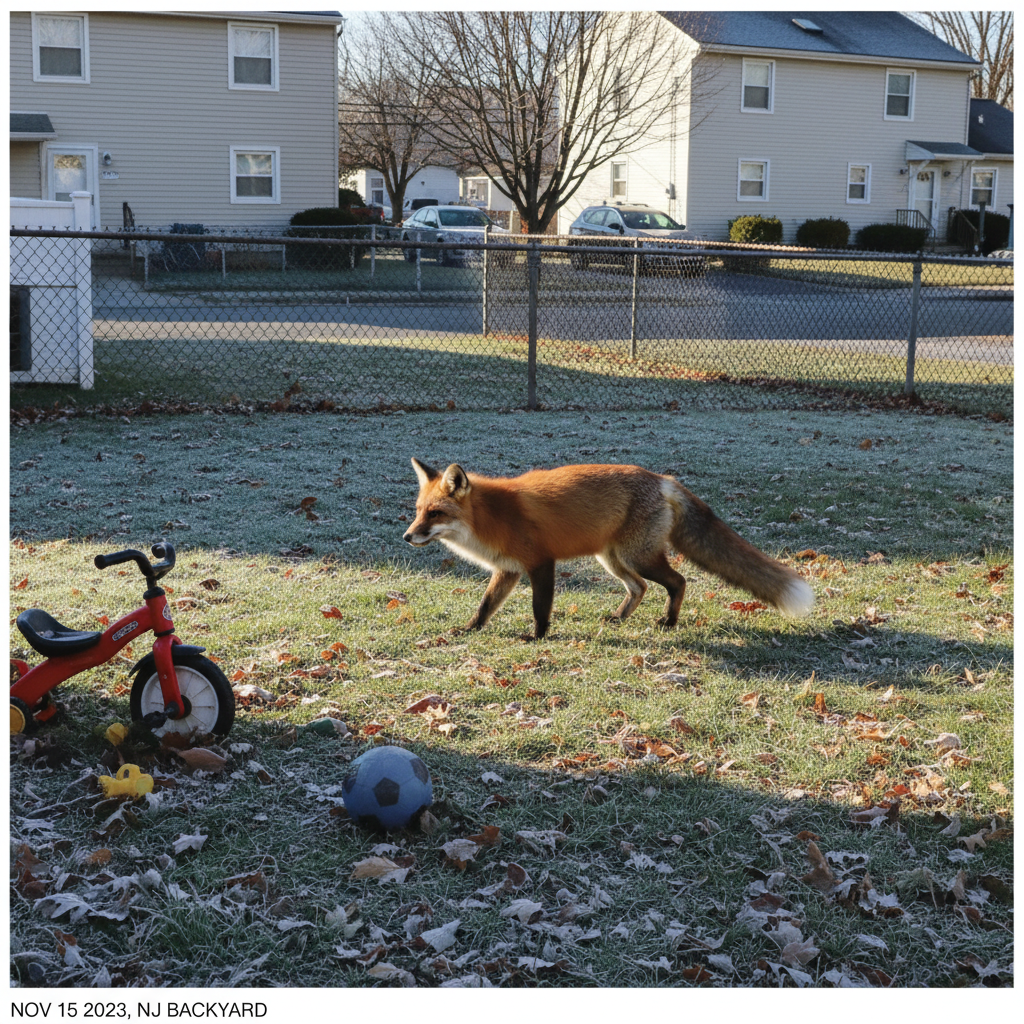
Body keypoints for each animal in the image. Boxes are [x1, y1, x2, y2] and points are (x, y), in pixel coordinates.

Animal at [403, 458, 814, 640]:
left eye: (435, 514)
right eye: (419, 511)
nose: (407, 537)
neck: (492, 518)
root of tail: (662, 479)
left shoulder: (541, 563)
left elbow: (540, 609)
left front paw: (537, 637)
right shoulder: (508, 570)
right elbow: (485, 606)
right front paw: (469, 629)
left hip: (636, 557)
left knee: (678, 581)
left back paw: (669, 622)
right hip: (612, 559)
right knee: (640, 588)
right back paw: (619, 617)